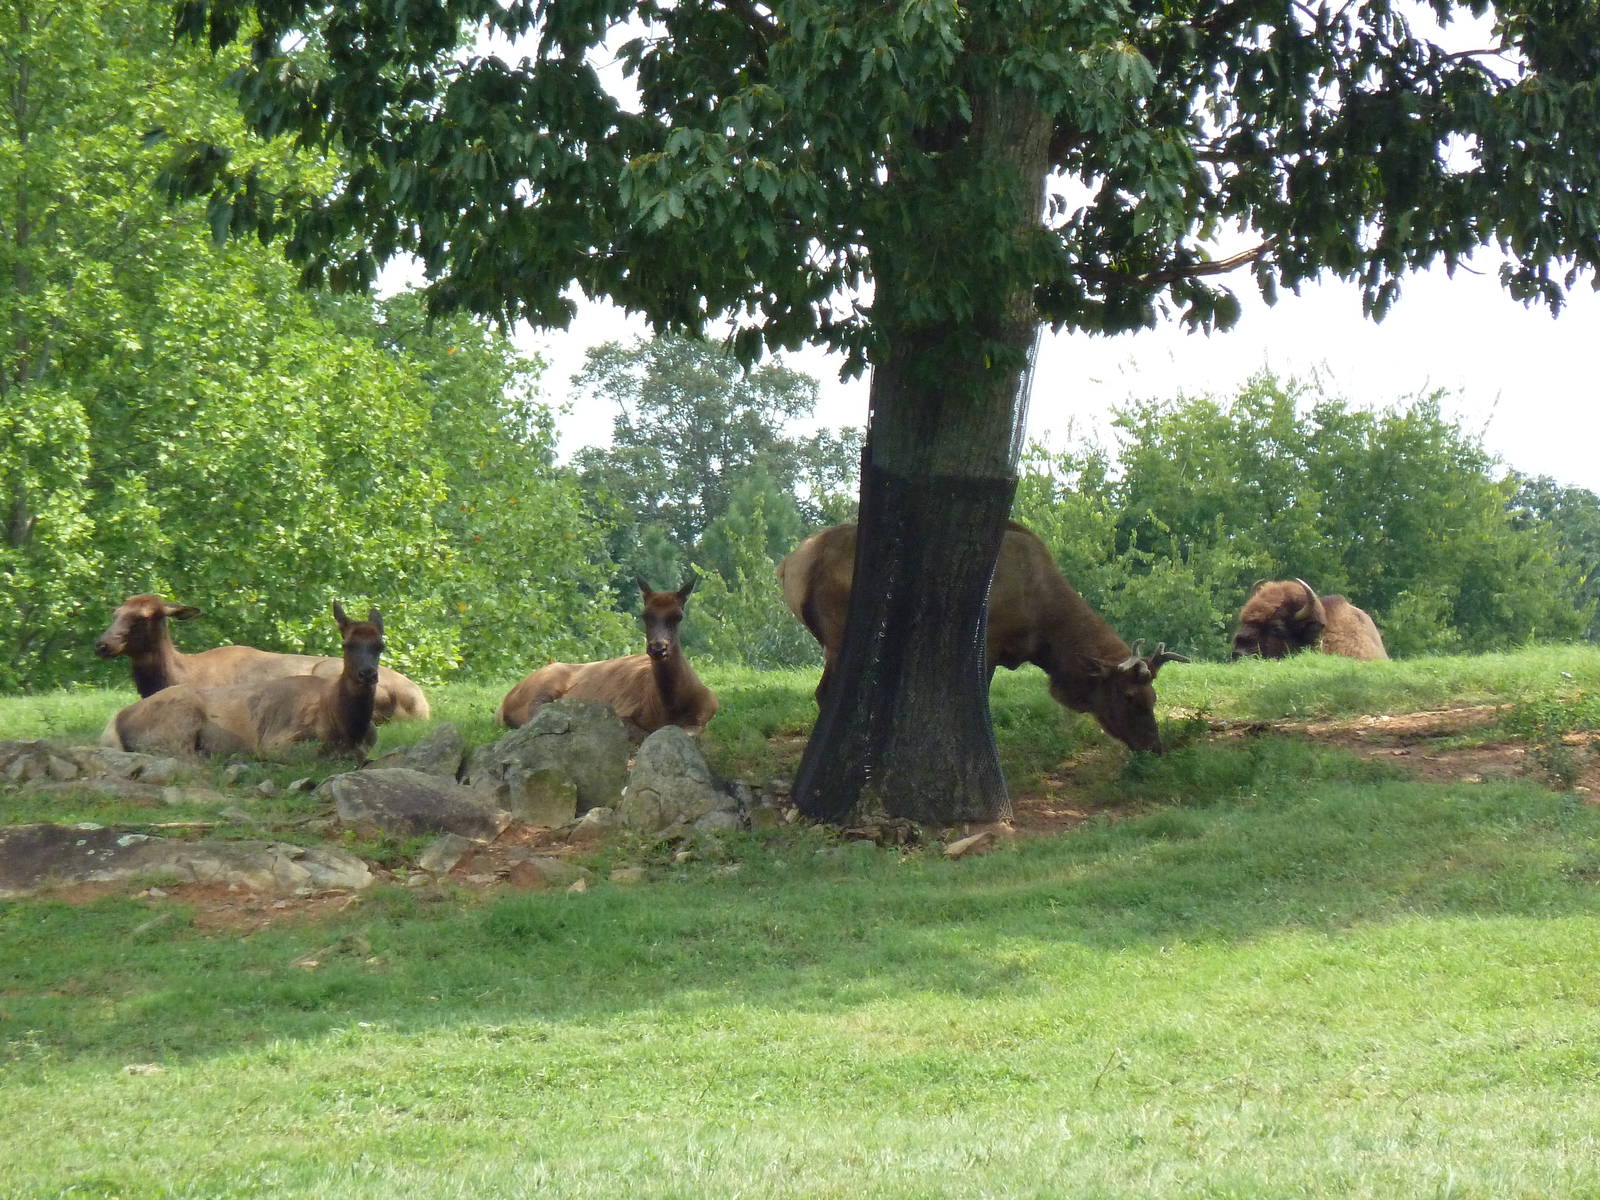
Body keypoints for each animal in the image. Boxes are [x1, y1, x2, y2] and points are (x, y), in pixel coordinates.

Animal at [93, 593, 429, 721]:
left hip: (325, 671)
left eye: (142, 618)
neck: (176, 675)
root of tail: (421, 705)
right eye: (115, 612)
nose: (102, 645)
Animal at [100, 603, 387, 760]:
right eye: (347, 644)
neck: (346, 724)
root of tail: (116, 719)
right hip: (177, 722)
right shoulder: (276, 742)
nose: (368, 674)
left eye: (380, 645)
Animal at [497, 577, 718, 741]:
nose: (658, 648)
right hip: (543, 683)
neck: (669, 708)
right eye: (645, 615)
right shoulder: (623, 708)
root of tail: (504, 702)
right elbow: (641, 734)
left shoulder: (710, 708)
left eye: (678, 616)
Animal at [777, 521, 1188, 753]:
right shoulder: (988, 643)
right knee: (827, 692)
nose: (1154, 747)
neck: (1043, 630)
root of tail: (791, 565)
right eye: (1129, 696)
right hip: (840, 632)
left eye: (1154, 696)